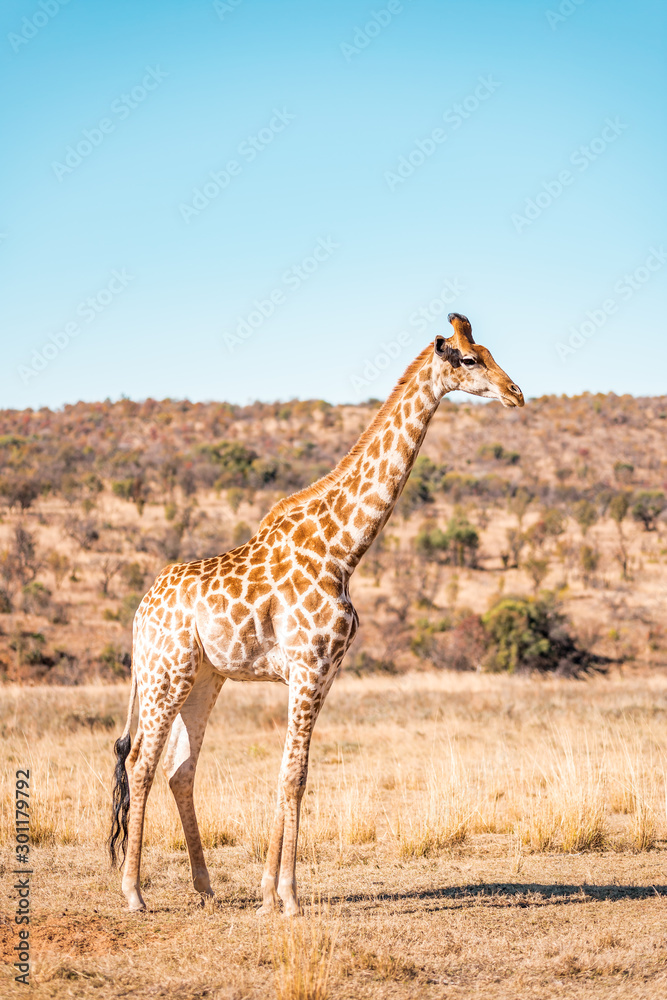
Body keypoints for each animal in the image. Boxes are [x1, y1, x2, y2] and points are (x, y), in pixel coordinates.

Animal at [108, 312, 524, 916]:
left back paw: (205, 887)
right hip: (166, 673)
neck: (343, 550)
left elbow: (289, 771)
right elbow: (296, 775)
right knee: (140, 763)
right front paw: (289, 897)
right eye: (470, 360)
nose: (516, 393)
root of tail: (140, 613)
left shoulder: (324, 673)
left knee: (179, 770)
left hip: (204, 679)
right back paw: (135, 894)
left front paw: (265, 895)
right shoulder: (307, 669)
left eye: (490, 352)